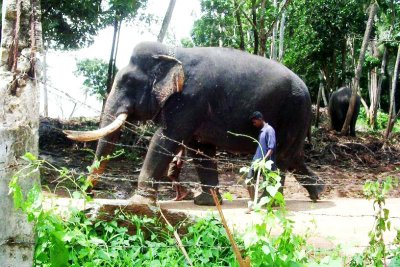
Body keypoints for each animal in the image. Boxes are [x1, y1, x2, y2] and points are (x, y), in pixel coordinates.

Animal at [63, 41, 324, 205]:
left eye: (127, 81)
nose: (85, 196)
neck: (171, 50)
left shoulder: (189, 100)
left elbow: (165, 138)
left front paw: (138, 202)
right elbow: (201, 150)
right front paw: (206, 202)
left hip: (294, 112)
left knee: (282, 157)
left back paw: (270, 201)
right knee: (294, 157)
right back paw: (317, 193)